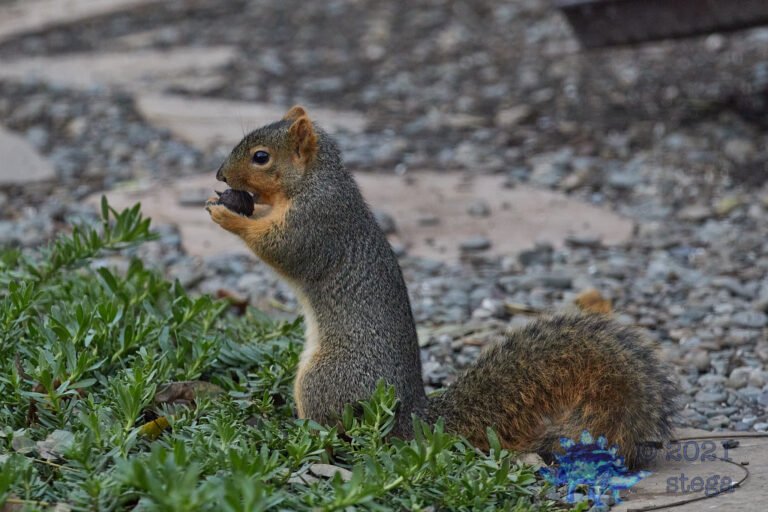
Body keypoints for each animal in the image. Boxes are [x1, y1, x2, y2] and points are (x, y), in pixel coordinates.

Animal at [205, 106, 678, 468]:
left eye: (261, 157)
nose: (220, 174)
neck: (314, 179)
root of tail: (408, 420)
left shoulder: (318, 222)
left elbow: (282, 248)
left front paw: (227, 215)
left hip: (326, 379)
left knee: (334, 429)